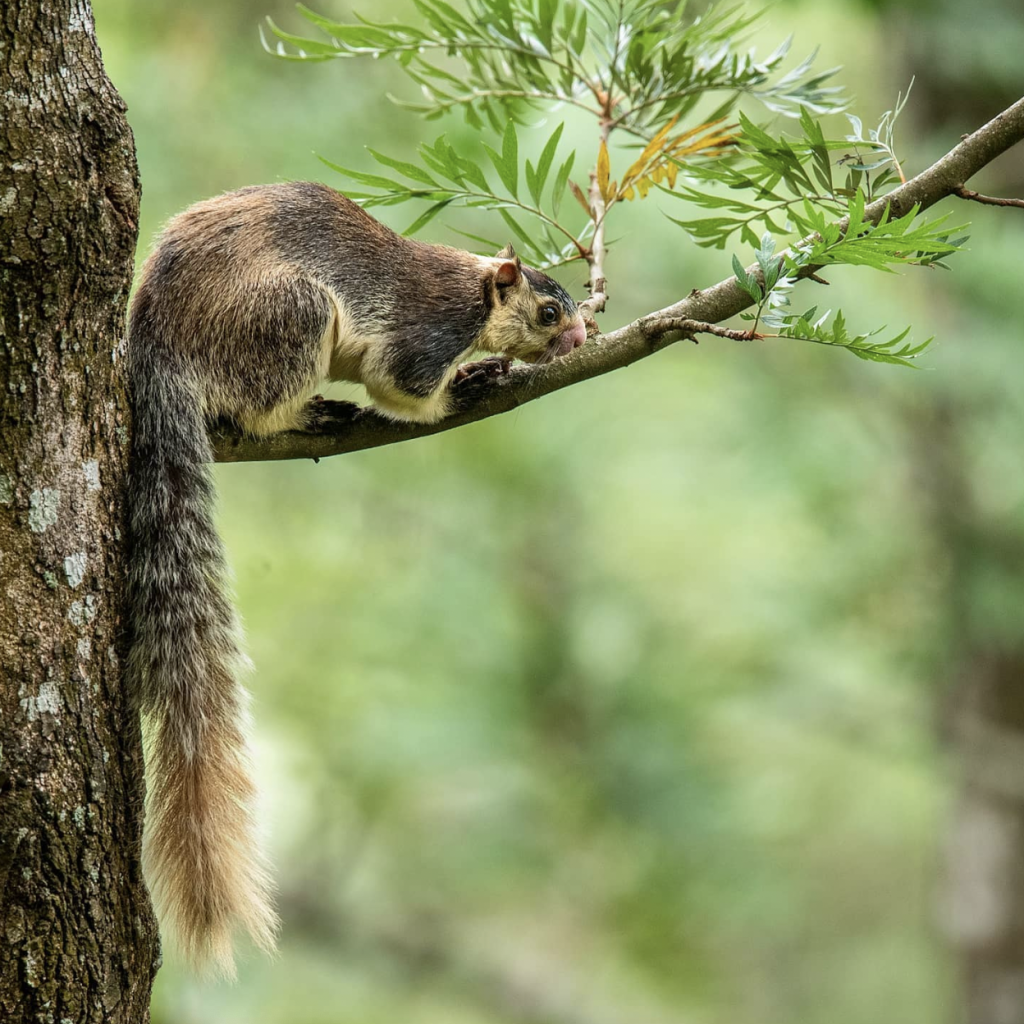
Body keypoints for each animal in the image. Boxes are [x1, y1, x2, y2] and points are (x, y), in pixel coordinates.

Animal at [124, 180, 589, 970]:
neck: (472, 290)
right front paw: (468, 384)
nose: (583, 339)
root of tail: (157, 342)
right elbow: (405, 387)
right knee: (253, 405)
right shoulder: (425, 335)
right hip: (288, 318)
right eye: (549, 311)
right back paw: (307, 412)